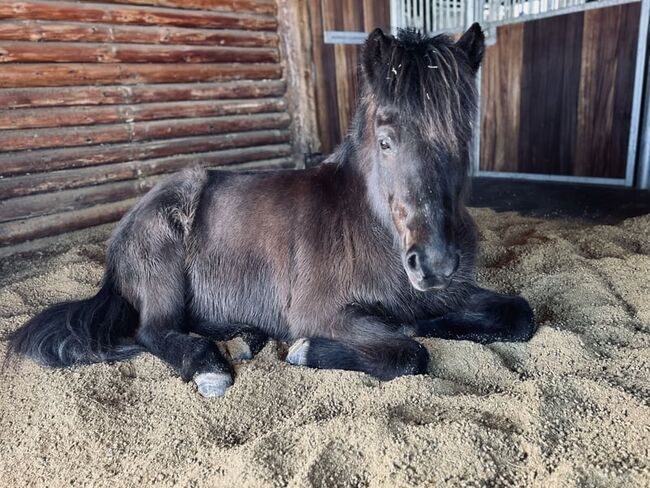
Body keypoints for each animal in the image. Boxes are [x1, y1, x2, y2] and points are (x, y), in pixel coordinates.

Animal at [7, 24, 536, 396]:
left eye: (462, 140)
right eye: (385, 141)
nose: (434, 264)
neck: (374, 228)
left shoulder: (448, 296)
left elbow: (519, 316)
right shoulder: (319, 310)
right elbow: (409, 354)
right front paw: (305, 351)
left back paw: (245, 338)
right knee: (152, 329)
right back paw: (210, 368)